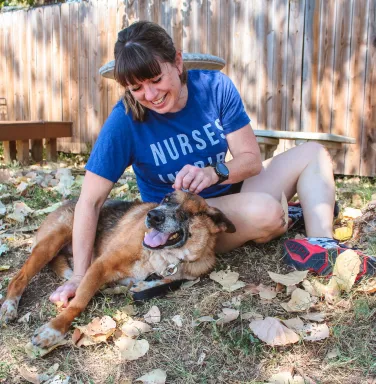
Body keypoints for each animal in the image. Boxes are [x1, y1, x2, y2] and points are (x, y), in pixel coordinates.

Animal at [0, 191, 235, 348]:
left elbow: (170, 280)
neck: (163, 256)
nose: (152, 216)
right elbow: (79, 302)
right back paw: (9, 307)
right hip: (53, 241)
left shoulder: (190, 271)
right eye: (166, 198)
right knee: (18, 278)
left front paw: (146, 284)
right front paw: (54, 329)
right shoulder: (99, 265)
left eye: (187, 213)